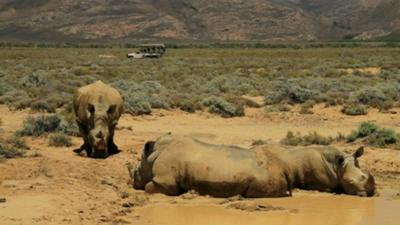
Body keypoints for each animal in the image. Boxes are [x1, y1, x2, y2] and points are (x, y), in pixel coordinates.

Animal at [131, 135, 376, 197]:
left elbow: (151, 187)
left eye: (135, 172)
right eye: (355, 181)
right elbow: (150, 187)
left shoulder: (165, 181)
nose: (372, 192)